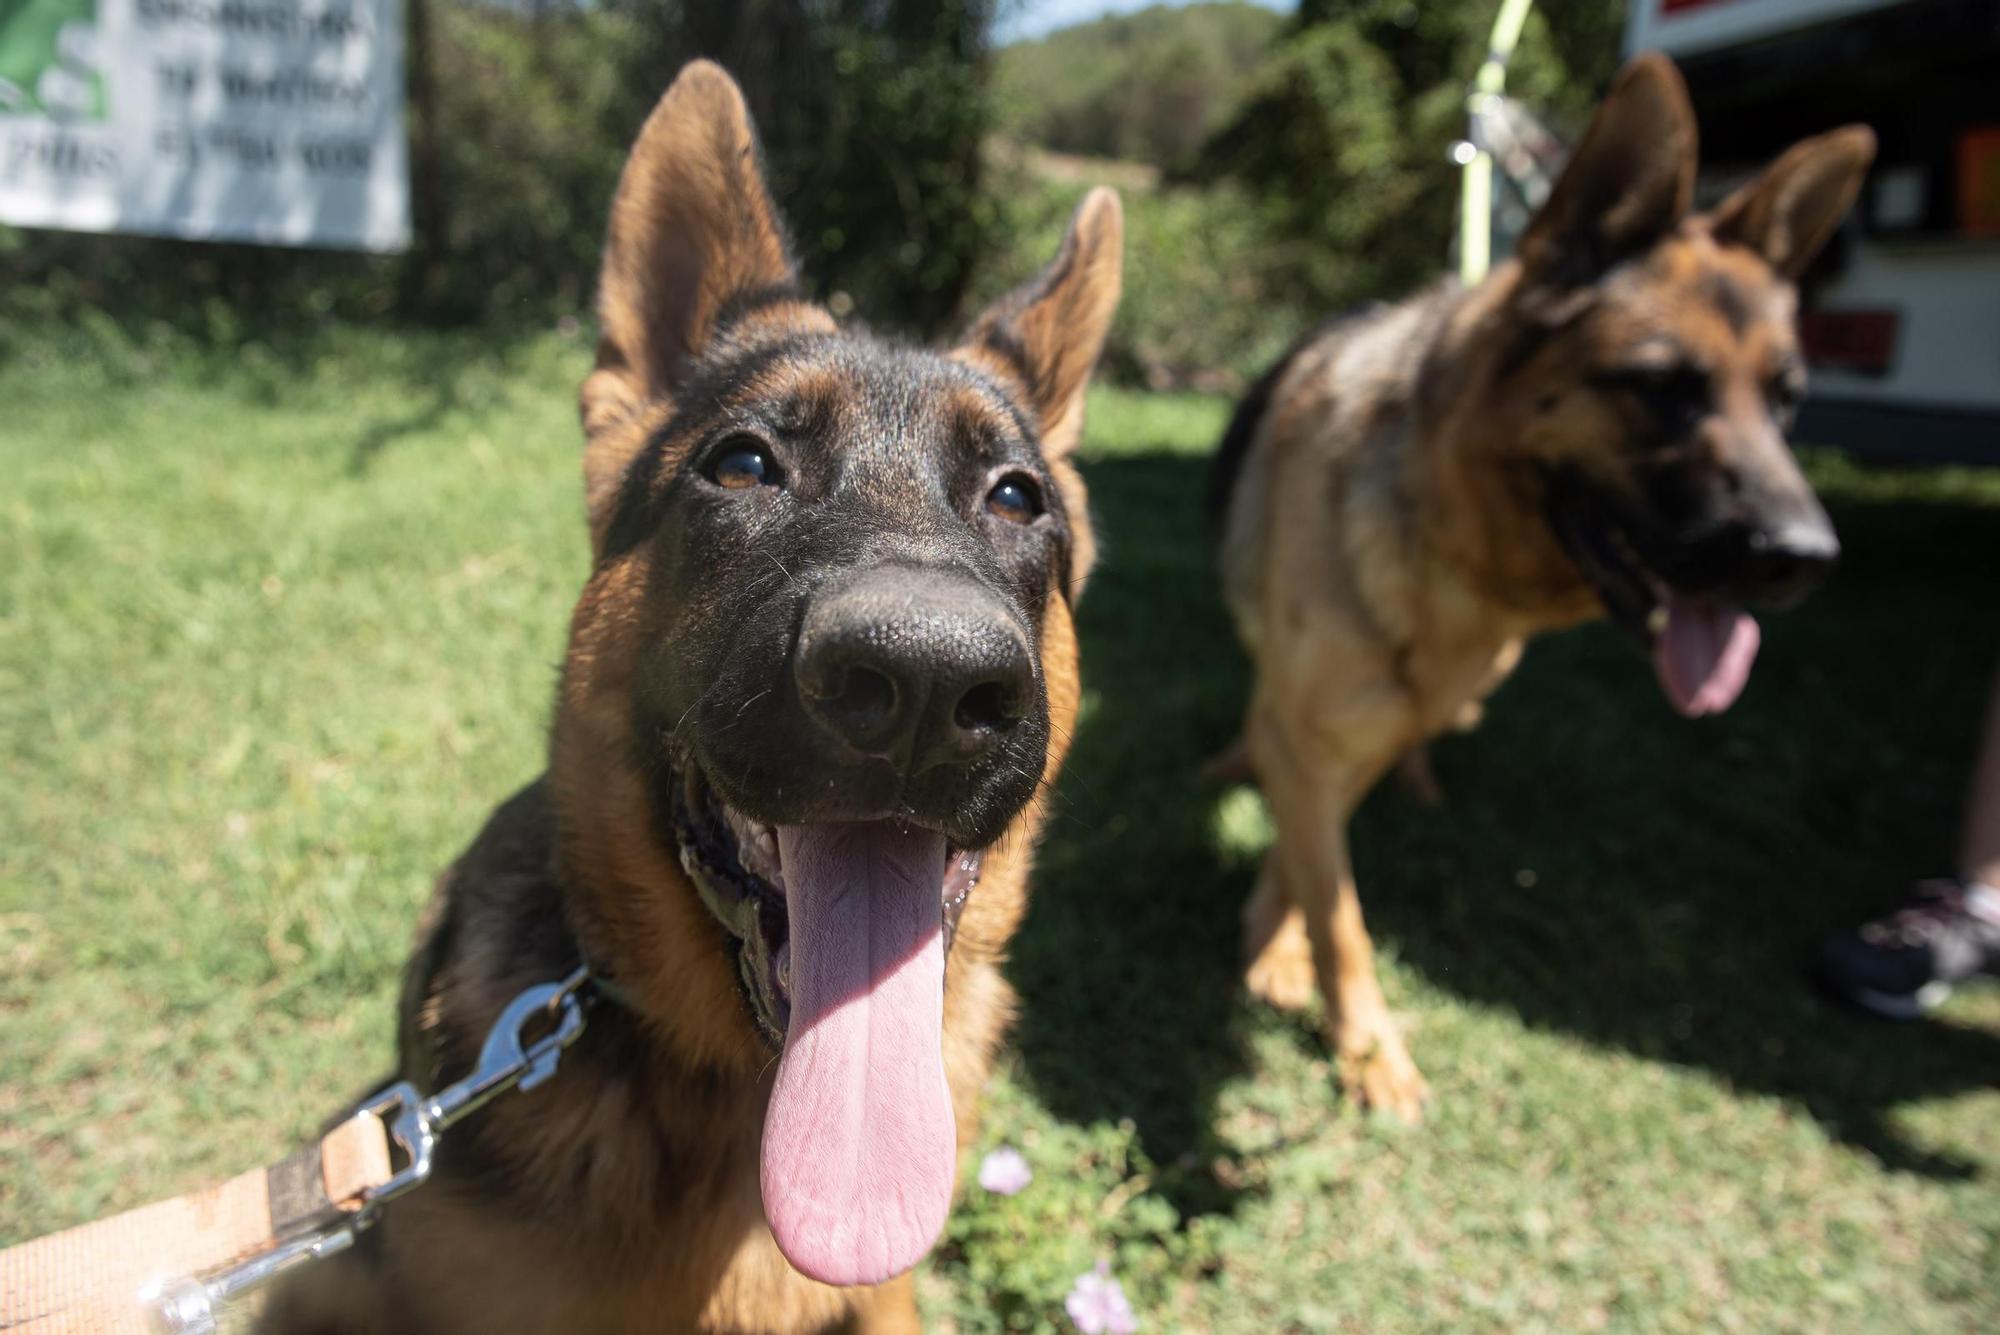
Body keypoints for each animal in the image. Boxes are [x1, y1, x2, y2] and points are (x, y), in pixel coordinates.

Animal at [1200, 52, 1872, 1119]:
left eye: (1788, 399)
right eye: (1662, 387)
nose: (1804, 558)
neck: (1447, 559)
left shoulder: (1345, 739)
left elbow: (1317, 866)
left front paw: (1285, 948)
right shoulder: (1309, 731)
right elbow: (1335, 896)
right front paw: (1365, 1041)